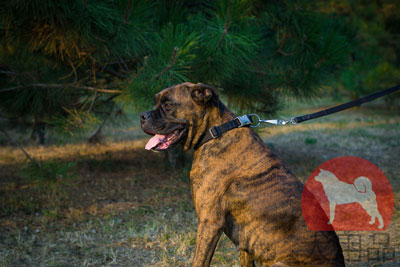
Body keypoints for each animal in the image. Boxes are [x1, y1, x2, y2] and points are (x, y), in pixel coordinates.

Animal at [141, 82, 344, 266]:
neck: (215, 132)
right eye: (156, 102)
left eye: (168, 105)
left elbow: (199, 261)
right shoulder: (246, 242)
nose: (142, 116)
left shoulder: (209, 222)